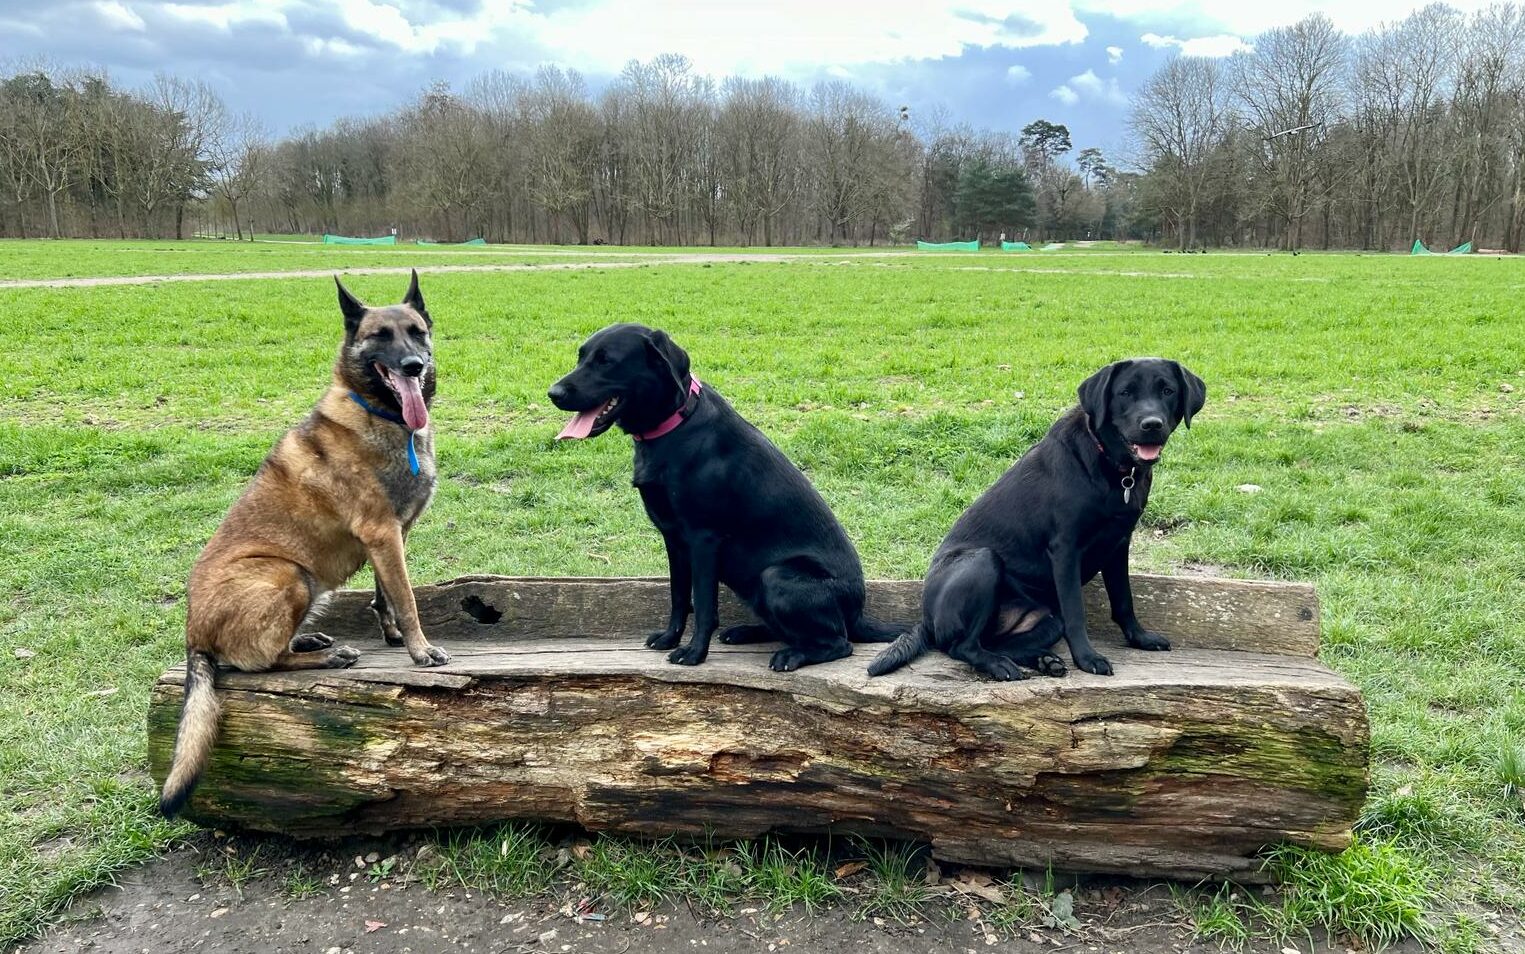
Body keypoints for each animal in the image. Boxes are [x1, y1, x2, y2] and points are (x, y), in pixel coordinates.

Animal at [160, 271, 448, 810]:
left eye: (416, 332)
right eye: (380, 336)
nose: (414, 366)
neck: (382, 417)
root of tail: (192, 634)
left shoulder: (392, 536)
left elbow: (385, 596)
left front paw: (395, 637)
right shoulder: (383, 534)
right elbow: (407, 599)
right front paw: (421, 652)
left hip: (308, 584)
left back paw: (309, 639)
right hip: (288, 573)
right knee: (260, 663)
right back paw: (324, 656)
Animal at [552, 324, 896, 667]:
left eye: (606, 361)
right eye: (581, 356)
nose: (553, 393)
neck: (675, 425)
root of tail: (858, 613)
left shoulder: (704, 539)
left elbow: (704, 605)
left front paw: (694, 653)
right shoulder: (674, 540)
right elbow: (679, 597)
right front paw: (669, 638)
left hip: (776, 576)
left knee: (840, 643)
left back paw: (791, 656)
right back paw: (746, 632)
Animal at [872, 356, 1201, 676]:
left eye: (1167, 391)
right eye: (1125, 393)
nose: (1152, 424)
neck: (1112, 467)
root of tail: (926, 620)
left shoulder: (1119, 544)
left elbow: (1124, 601)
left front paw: (1139, 638)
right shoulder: (1065, 550)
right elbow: (1076, 611)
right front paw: (1087, 658)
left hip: (1047, 620)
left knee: (1001, 644)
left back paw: (1045, 661)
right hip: (982, 561)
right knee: (962, 647)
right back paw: (1001, 666)